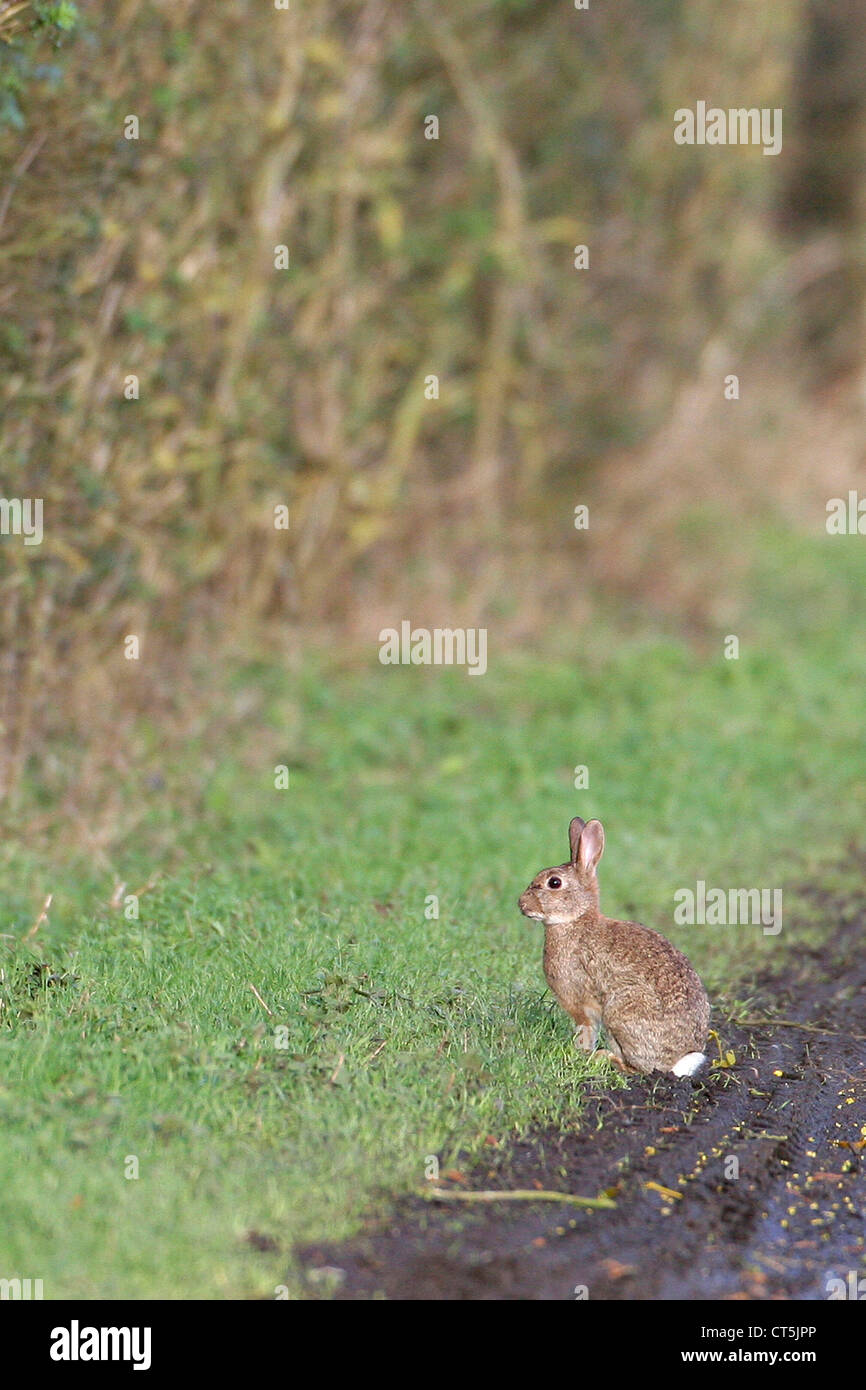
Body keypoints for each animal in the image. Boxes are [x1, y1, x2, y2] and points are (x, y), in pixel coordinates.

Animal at [518, 816, 709, 1076]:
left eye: (554, 883)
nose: (521, 904)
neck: (576, 920)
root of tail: (679, 1061)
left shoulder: (579, 1002)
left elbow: (585, 1030)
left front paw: (581, 1055)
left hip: (621, 1010)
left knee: (641, 1068)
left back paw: (606, 1058)